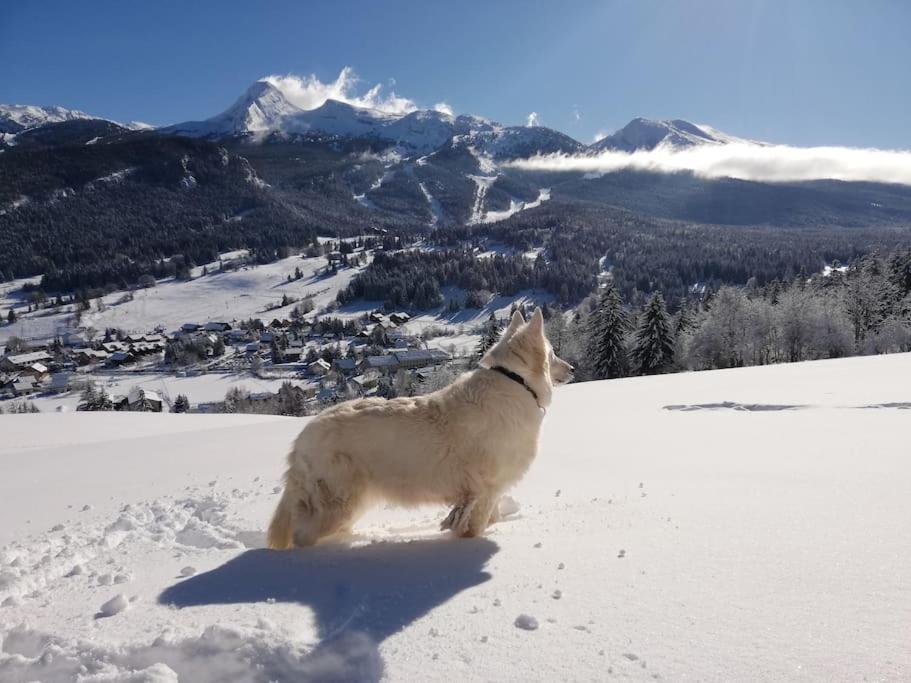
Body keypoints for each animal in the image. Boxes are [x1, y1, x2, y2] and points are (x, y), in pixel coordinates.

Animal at [268, 308, 572, 548]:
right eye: (553, 353)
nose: (571, 369)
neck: (515, 381)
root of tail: (304, 435)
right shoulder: (487, 487)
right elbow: (475, 526)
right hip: (339, 501)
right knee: (302, 535)